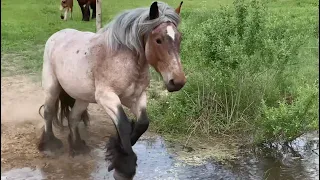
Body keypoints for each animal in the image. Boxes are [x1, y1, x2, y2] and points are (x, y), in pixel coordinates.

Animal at [38, 1, 185, 179]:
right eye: (158, 40)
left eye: (179, 38)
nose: (177, 82)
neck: (123, 60)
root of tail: (58, 35)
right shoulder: (107, 97)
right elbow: (123, 125)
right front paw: (124, 168)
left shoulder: (137, 97)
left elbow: (142, 123)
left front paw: (117, 149)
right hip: (52, 87)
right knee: (48, 113)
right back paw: (50, 146)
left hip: (82, 97)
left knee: (73, 118)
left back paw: (78, 147)